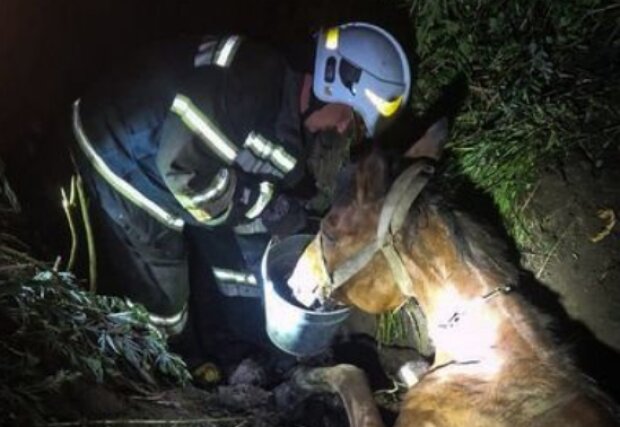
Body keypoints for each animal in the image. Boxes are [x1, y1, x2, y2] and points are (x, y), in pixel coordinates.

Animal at [292, 120, 620, 427]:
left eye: (330, 231)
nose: (295, 282)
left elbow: (352, 375)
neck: (485, 354)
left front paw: (304, 377)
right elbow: (402, 361)